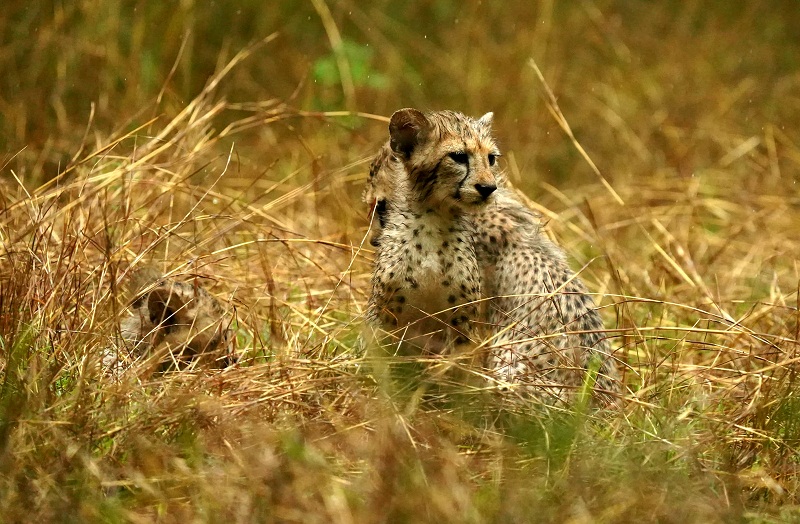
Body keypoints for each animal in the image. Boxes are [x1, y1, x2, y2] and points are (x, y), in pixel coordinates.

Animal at [368, 108, 500, 354]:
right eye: (458, 156)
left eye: (491, 158)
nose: (488, 188)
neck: (435, 217)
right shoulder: (383, 315)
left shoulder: (462, 321)